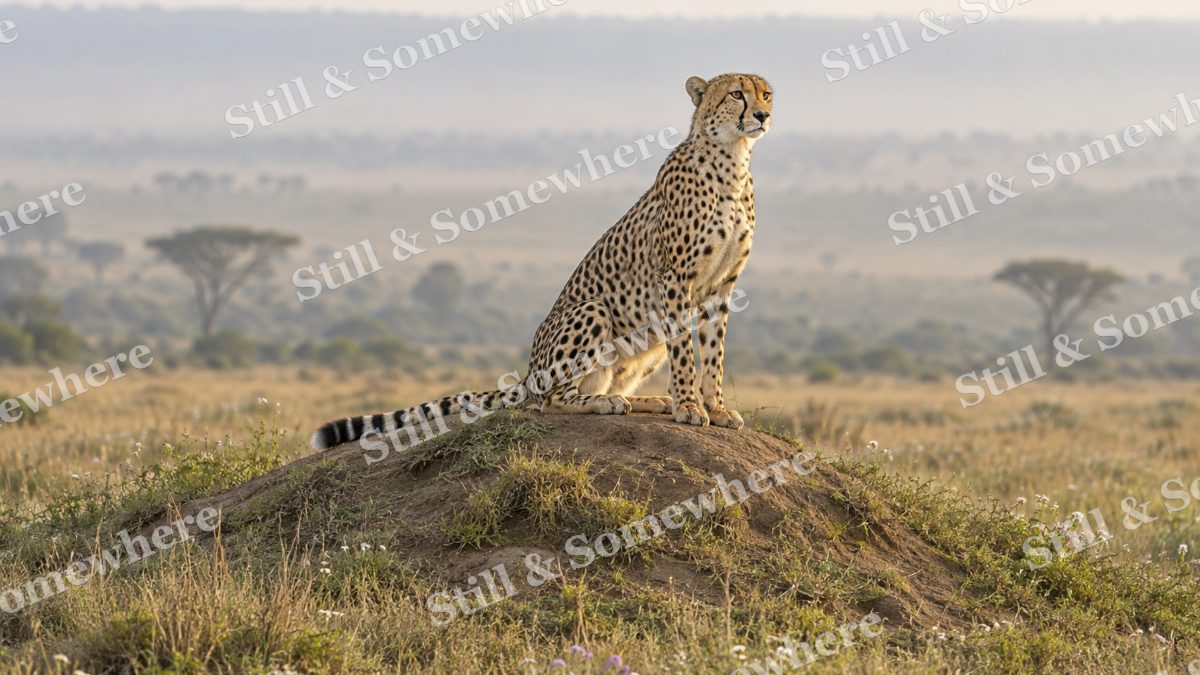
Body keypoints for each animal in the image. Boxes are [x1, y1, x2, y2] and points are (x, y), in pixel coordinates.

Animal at [311, 72, 773, 450]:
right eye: (737, 94)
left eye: (766, 93)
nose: (764, 115)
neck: (732, 160)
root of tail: (530, 373)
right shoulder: (675, 278)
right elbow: (687, 354)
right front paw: (689, 406)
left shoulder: (720, 286)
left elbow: (713, 353)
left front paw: (714, 407)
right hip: (592, 309)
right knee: (550, 400)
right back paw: (605, 402)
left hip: (645, 341)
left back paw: (642, 399)